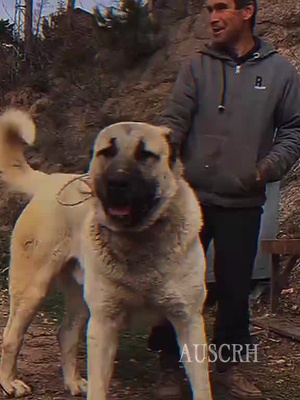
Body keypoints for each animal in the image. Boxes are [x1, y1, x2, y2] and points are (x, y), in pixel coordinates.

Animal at [0, 108, 212, 398]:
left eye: (146, 154)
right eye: (106, 152)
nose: (117, 182)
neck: (139, 241)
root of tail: (52, 180)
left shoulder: (188, 320)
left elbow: (201, 384)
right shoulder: (103, 325)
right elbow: (100, 386)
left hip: (79, 298)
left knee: (65, 333)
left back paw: (73, 381)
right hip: (32, 291)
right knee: (11, 336)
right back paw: (9, 381)